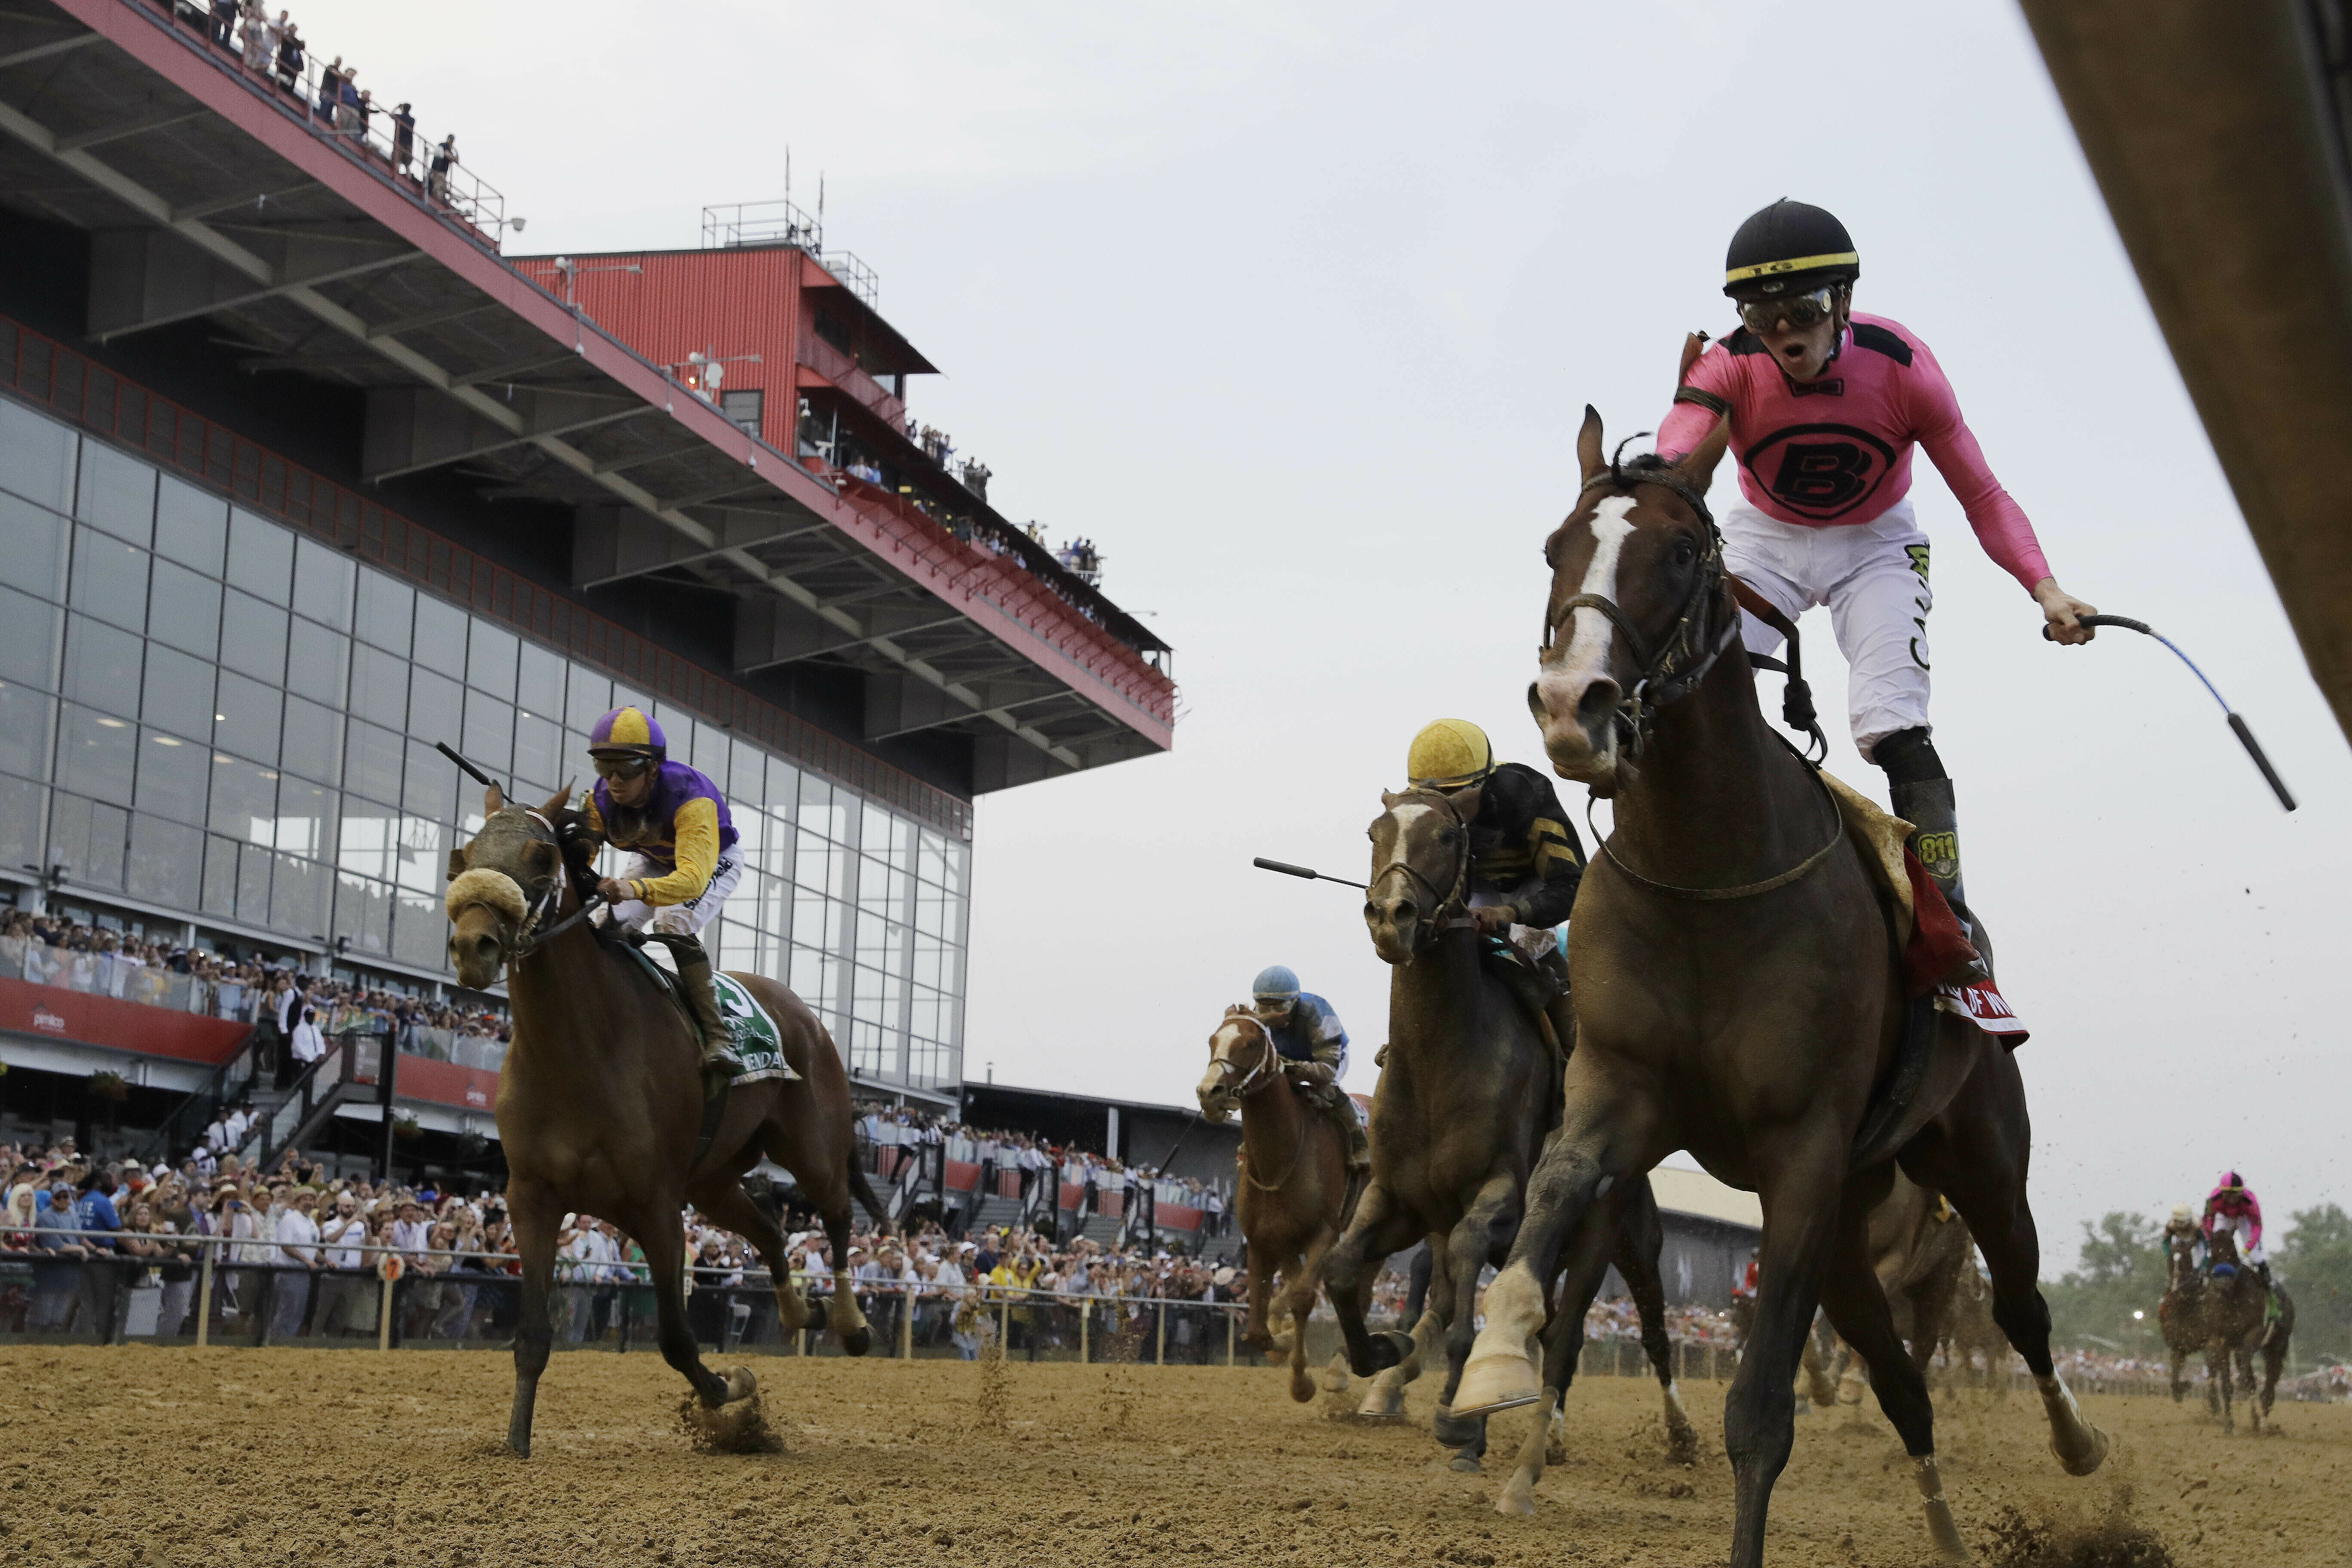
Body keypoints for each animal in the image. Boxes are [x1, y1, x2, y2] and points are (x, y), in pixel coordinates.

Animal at [442, 785, 884, 1457]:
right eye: (463, 856)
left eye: (542, 857)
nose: (473, 947)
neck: (578, 1052)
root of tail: (806, 1016)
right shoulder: (532, 1198)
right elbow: (533, 1335)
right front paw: (515, 1441)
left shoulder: (656, 1205)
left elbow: (677, 1338)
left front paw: (732, 1391)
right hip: (712, 1182)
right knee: (771, 1230)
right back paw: (793, 1311)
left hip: (812, 1150)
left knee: (836, 1218)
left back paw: (850, 1322)